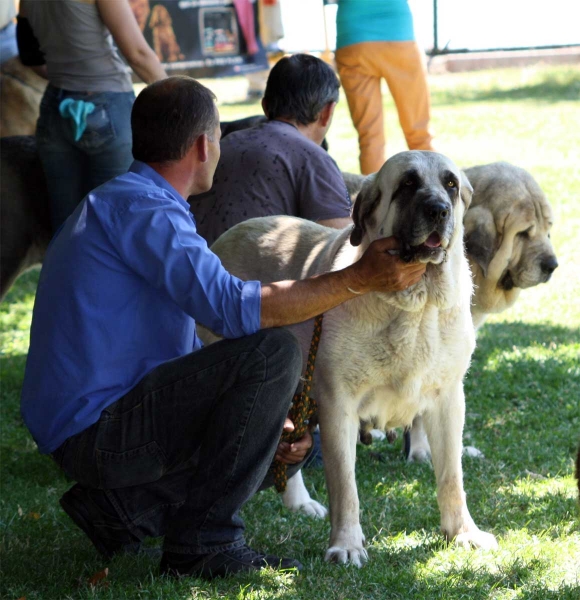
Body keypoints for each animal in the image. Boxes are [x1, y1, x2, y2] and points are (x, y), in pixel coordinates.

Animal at [204, 152, 498, 564]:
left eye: (451, 184)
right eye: (408, 184)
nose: (439, 209)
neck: (414, 307)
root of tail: (231, 234)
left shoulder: (448, 400)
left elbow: (451, 476)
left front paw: (462, 532)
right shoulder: (337, 405)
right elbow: (345, 485)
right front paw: (346, 544)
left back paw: (299, 503)